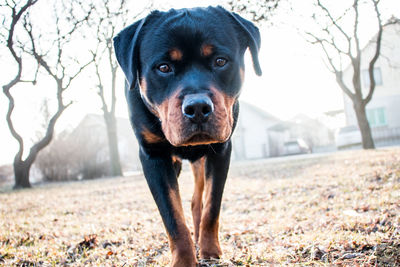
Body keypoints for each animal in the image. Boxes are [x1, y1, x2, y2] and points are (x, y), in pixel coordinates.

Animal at [113, 5, 262, 266]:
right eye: (164, 67)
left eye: (220, 61)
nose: (198, 107)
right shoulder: (154, 156)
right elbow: (173, 217)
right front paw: (183, 259)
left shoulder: (220, 151)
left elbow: (211, 206)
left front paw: (210, 251)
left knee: (196, 202)